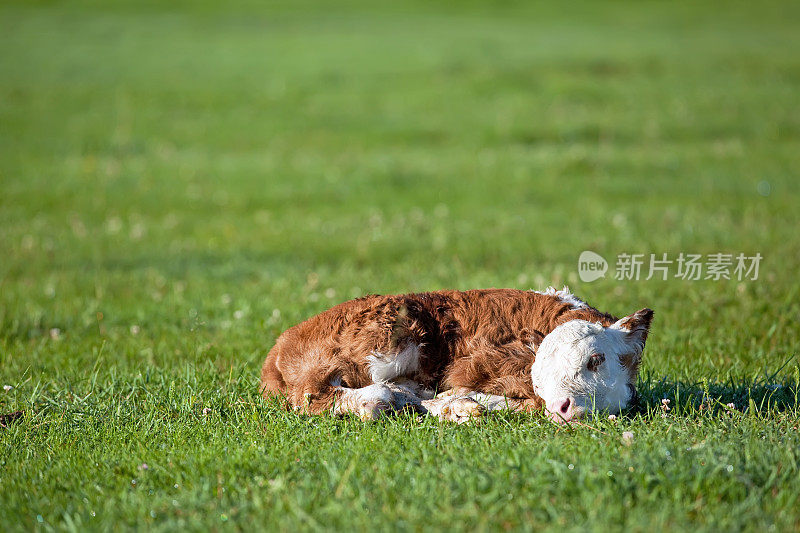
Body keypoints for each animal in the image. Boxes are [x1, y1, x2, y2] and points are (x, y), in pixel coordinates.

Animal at [260, 288, 652, 422]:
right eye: (539, 375)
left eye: (595, 359)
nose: (561, 406)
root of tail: (281, 342)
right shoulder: (474, 367)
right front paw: (463, 404)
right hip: (389, 337)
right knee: (316, 397)